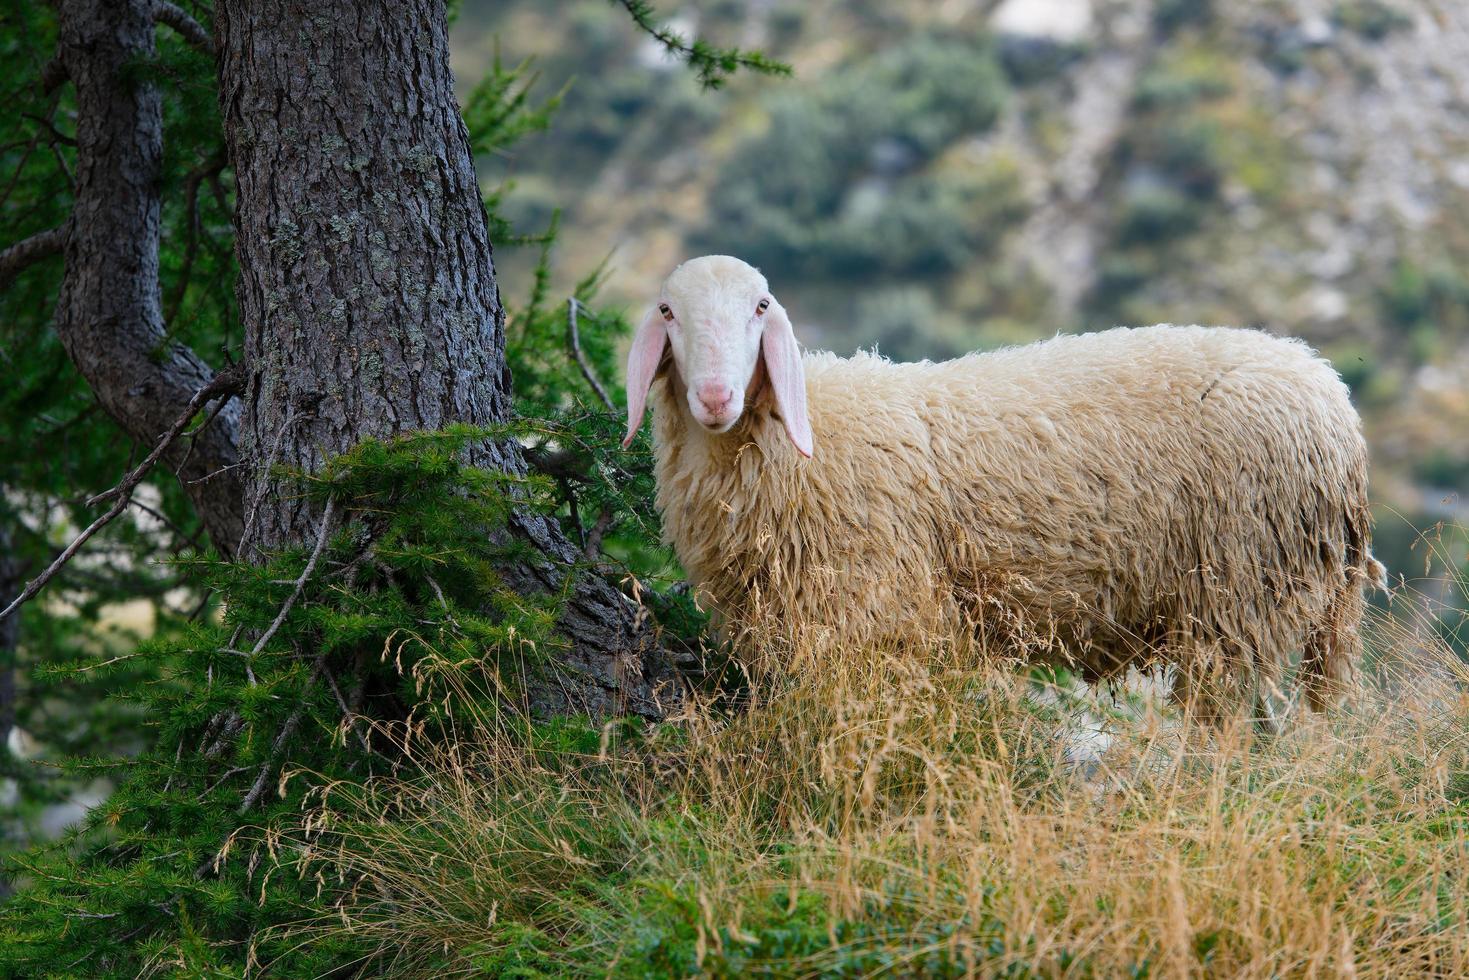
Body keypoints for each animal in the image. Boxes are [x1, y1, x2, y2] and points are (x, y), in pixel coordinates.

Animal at [625, 257, 1380, 725]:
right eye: (667, 312)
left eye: (759, 308)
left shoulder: (874, 622)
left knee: (1225, 719)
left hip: (1236, 584)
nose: (715, 396)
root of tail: (1334, 401)